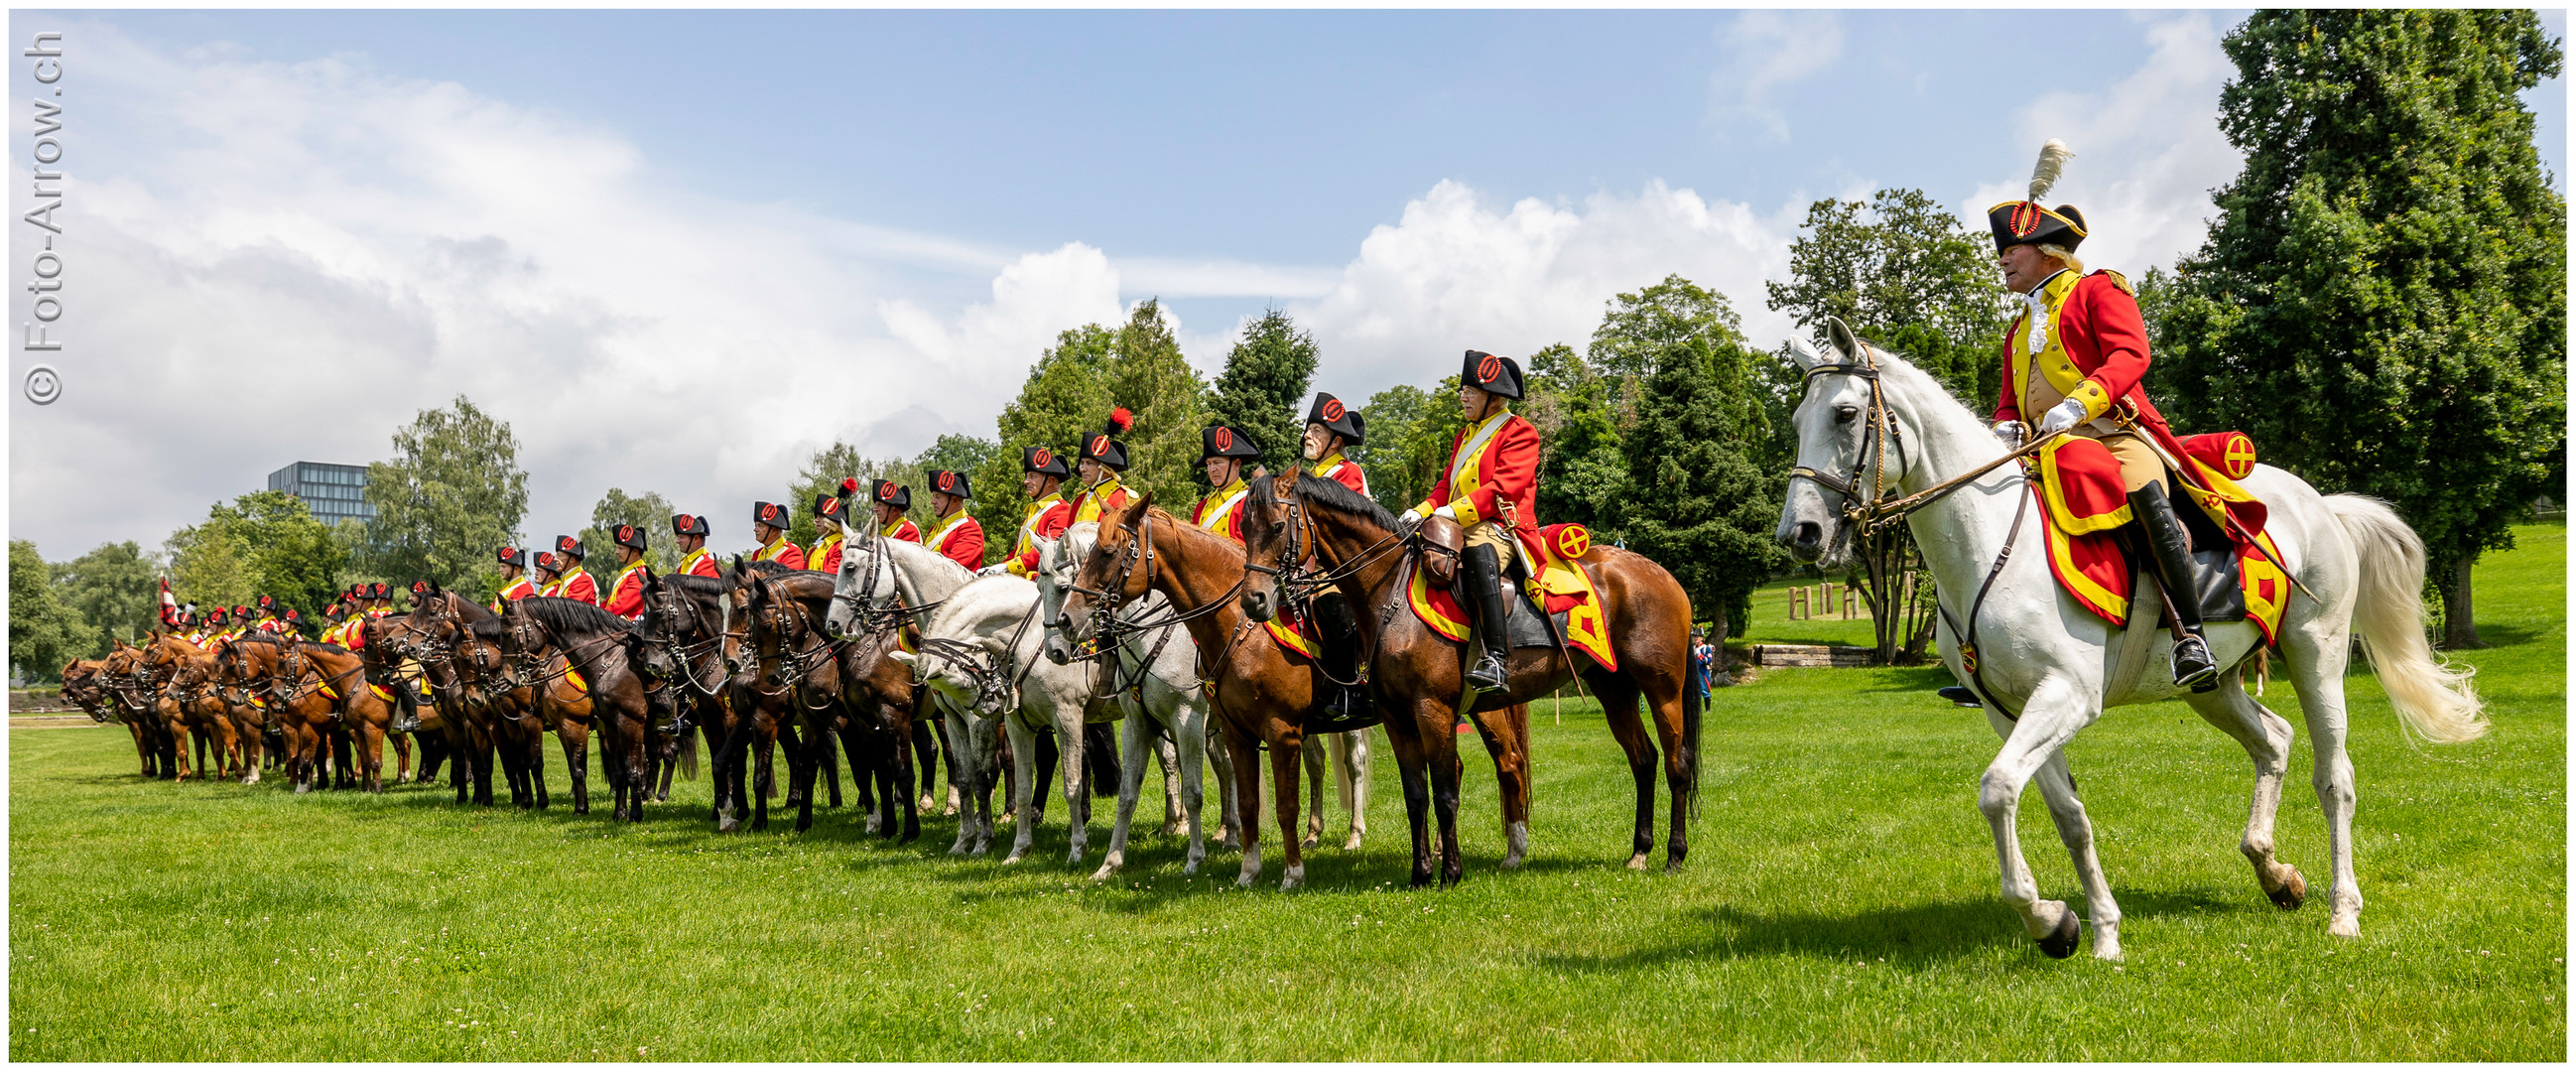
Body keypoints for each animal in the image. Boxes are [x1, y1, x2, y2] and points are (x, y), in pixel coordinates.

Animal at [1020, 520, 1230, 880]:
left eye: (1063, 587)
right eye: (1037, 587)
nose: (1055, 651)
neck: (1151, 633)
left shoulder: (1187, 722)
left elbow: (1193, 792)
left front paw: (1194, 858)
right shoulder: (1138, 723)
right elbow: (1127, 794)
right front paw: (1109, 863)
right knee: (1230, 770)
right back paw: (1231, 833)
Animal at [1061, 494, 1535, 886]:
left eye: (1106, 552)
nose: (1066, 621)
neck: (1240, 626)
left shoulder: (1261, 727)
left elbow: (1274, 802)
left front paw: (1283, 872)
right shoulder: (1216, 730)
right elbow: (1235, 801)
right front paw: (1242, 871)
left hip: (1460, 708)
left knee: (1490, 764)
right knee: (1456, 768)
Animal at [1236, 473, 1700, 886]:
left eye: (1277, 526)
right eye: (1244, 527)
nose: (1254, 600)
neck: (1388, 595)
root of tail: (1663, 575)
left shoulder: (1434, 711)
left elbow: (1444, 794)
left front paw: (1450, 873)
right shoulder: (1397, 718)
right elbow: (1416, 796)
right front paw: (1420, 874)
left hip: (1662, 690)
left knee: (1676, 762)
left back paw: (1675, 855)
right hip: (1615, 691)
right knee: (1643, 760)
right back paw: (1640, 852)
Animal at [1782, 318, 2483, 963]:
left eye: (1845, 414)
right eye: (1795, 420)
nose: (1801, 534)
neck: (1989, 541)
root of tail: (2321, 504)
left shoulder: (2067, 695)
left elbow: (1998, 789)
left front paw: (2047, 918)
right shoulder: (2007, 708)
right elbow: (2068, 817)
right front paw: (2088, 930)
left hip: (2317, 653)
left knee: (2334, 777)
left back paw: (2343, 914)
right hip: (2212, 687)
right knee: (2274, 739)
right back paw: (2275, 873)